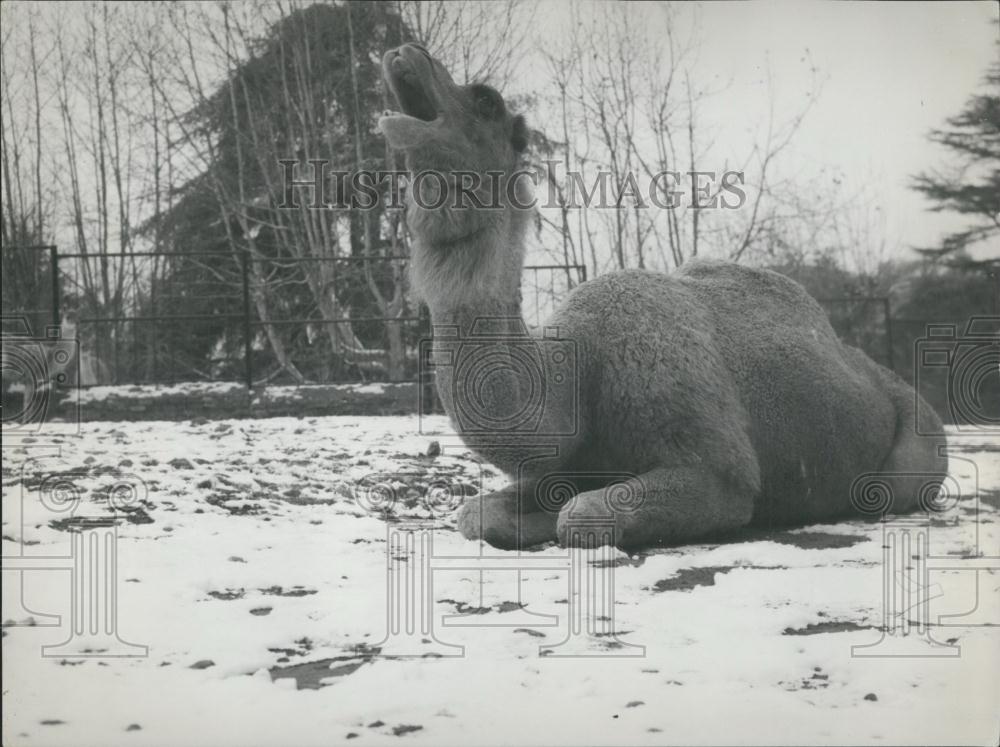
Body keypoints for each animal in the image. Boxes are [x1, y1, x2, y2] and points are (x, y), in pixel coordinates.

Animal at [378, 43, 948, 552]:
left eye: (486, 100)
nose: (406, 52)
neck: (579, 373)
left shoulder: (716, 469)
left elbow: (581, 517)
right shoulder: (574, 463)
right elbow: (478, 514)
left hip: (918, 449)